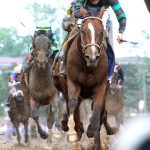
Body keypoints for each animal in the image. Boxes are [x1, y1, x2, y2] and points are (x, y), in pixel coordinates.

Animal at [66, 8, 109, 150]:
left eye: (101, 31)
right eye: (83, 31)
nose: (92, 57)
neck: (87, 66)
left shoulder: (101, 86)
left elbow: (96, 115)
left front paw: (96, 143)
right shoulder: (72, 81)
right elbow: (72, 103)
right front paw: (71, 133)